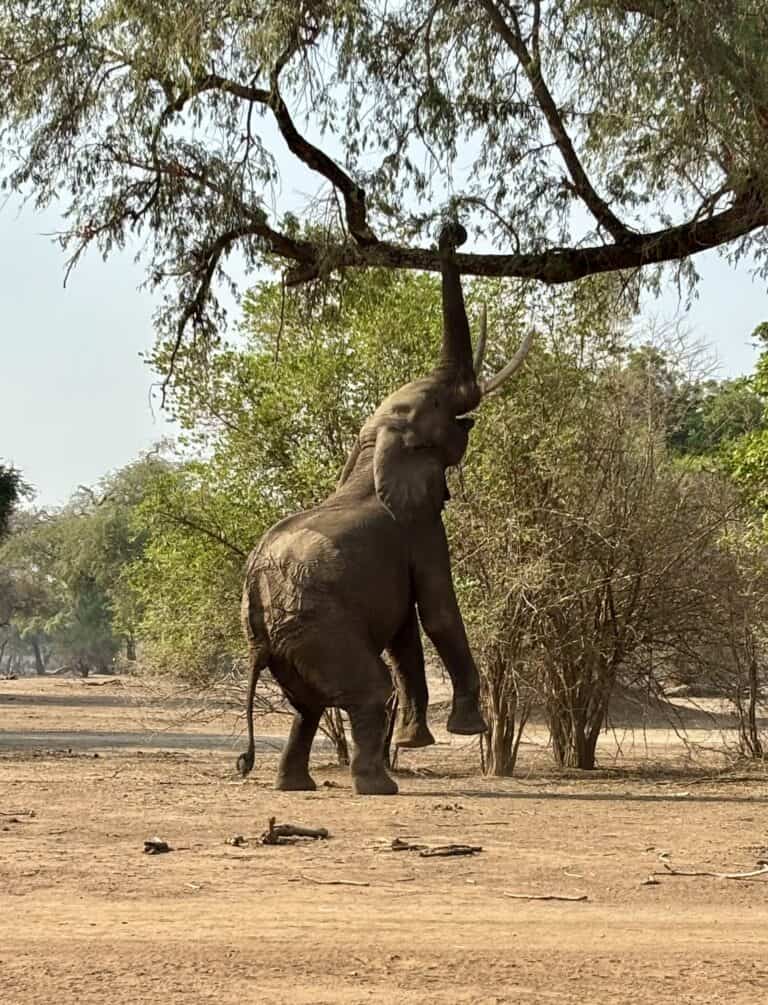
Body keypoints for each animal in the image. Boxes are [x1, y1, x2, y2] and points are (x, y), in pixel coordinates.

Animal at [237, 222, 533, 794]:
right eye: (440, 401)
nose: (453, 229)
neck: (373, 448)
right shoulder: (420, 528)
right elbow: (436, 610)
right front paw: (467, 728)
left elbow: (404, 635)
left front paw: (418, 741)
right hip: (321, 627)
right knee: (367, 691)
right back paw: (378, 786)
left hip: (291, 639)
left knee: (307, 707)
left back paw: (297, 786)